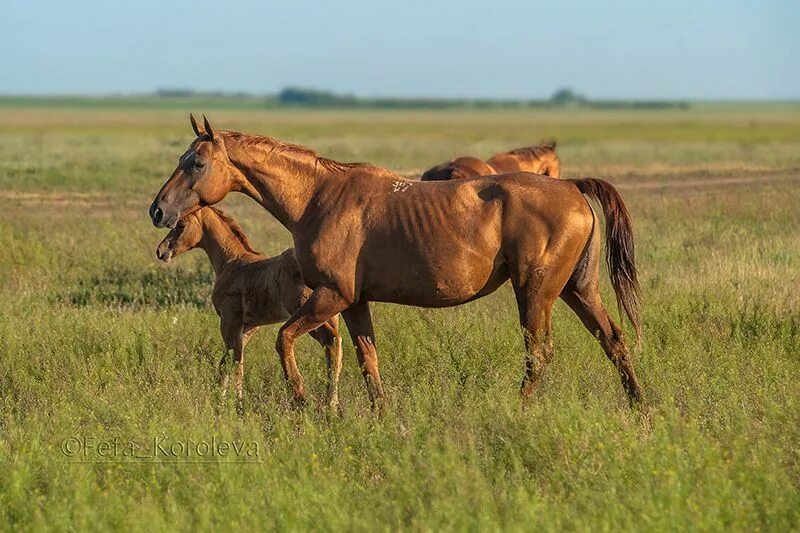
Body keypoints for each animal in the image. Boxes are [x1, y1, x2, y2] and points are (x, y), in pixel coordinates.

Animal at [156, 206, 344, 410]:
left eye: (181, 225)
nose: (161, 251)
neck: (231, 262)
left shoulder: (230, 322)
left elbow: (235, 363)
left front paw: (236, 403)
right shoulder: (248, 327)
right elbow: (229, 362)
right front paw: (221, 399)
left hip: (309, 312)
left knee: (330, 340)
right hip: (330, 315)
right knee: (333, 346)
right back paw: (331, 403)